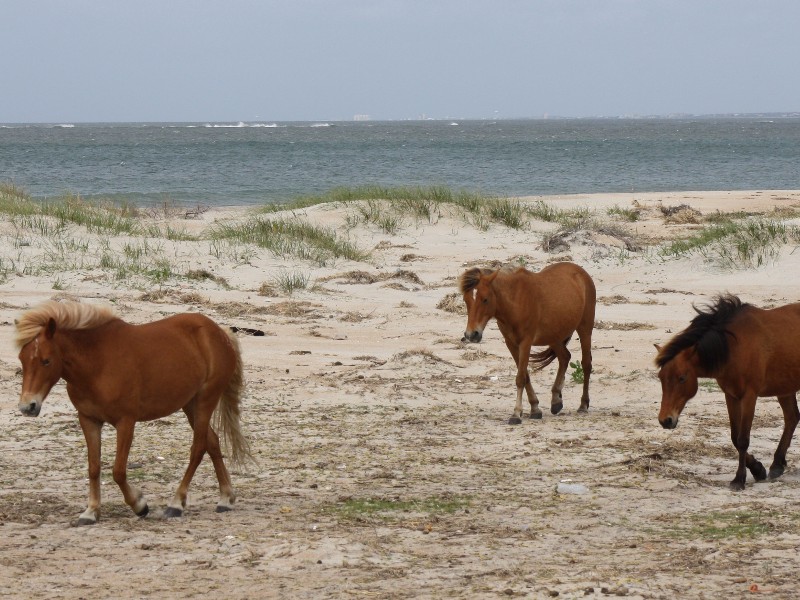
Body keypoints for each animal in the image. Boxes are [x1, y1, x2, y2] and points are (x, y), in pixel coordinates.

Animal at [16, 302, 253, 524]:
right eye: (21, 359)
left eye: (46, 360)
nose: (28, 406)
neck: (97, 363)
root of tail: (220, 332)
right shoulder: (89, 420)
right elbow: (94, 467)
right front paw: (91, 512)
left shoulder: (126, 422)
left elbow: (118, 471)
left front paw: (139, 505)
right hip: (190, 405)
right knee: (212, 442)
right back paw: (226, 498)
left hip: (205, 401)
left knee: (199, 447)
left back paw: (176, 503)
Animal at [462, 264, 592, 426]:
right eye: (466, 300)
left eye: (485, 299)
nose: (471, 335)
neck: (514, 302)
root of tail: (580, 271)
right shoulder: (511, 344)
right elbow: (525, 376)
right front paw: (535, 409)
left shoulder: (526, 342)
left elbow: (520, 378)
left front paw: (516, 414)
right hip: (553, 336)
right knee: (564, 357)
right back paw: (556, 400)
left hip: (585, 329)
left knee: (586, 364)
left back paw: (583, 404)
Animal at [656, 292, 800, 490]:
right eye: (660, 378)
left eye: (682, 378)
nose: (665, 420)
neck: (733, 346)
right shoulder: (731, 395)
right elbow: (734, 436)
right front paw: (758, 469)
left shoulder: (749, 396)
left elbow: (743, 439)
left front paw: (739, 479)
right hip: (785, 388)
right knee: (792, 418)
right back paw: (777, 465)